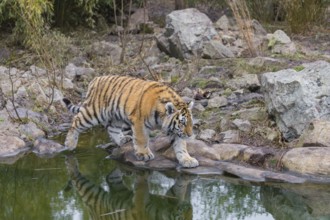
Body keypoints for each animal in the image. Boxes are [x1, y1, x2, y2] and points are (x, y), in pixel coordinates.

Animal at [63, 75, 199, 168]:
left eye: (190, 123)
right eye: (182, 122)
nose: (190, 135)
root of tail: (95, 79)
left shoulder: (176, 131)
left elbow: (181, 146)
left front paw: (187, 160)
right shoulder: (139, 122)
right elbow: (142, 139)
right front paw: (144, 154)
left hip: (115, 116)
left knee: (111, 128)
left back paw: (123, 139)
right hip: (93, 112)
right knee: (75, 122)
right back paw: (70, 144)